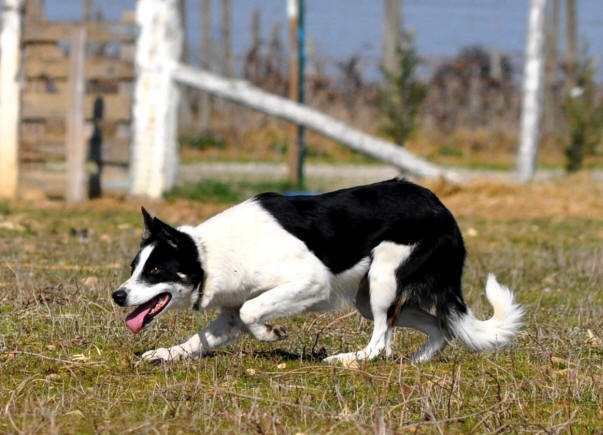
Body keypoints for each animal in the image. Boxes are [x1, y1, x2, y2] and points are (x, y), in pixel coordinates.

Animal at [112, 178, 524, 364]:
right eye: (135, 267)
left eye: (156, 269)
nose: (117, 295)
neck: (209, 255)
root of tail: (442, 209)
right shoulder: (228, 313)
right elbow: (202, 337)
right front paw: (165, 353)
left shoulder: (311, 281)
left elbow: (252, 311)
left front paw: (271, 333)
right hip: (368, 296)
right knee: (438, 327)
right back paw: (414, 363)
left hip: (383, 279)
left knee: (381, 339)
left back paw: (349, 361)